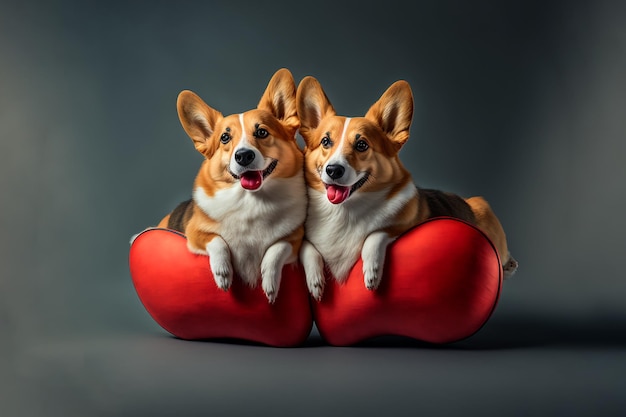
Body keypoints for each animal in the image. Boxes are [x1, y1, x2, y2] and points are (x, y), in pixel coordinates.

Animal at [154, 68, 304, 302]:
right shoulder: (195, 234)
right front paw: (223, 273)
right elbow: (216, 240)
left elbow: (277, 248)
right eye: (225, 137)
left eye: (262, 132)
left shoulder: (295, 239)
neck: (250, 200)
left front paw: (270, 282)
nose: (243, 156)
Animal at [298, 75, 516, 300]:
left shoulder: (405, 225)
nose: (333, 170)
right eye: (325, 141)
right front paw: (315, 281)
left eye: (362, 145)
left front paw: (372, 272)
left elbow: (376, 233)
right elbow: (306, 248)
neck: (344, 211)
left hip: (482, 207)